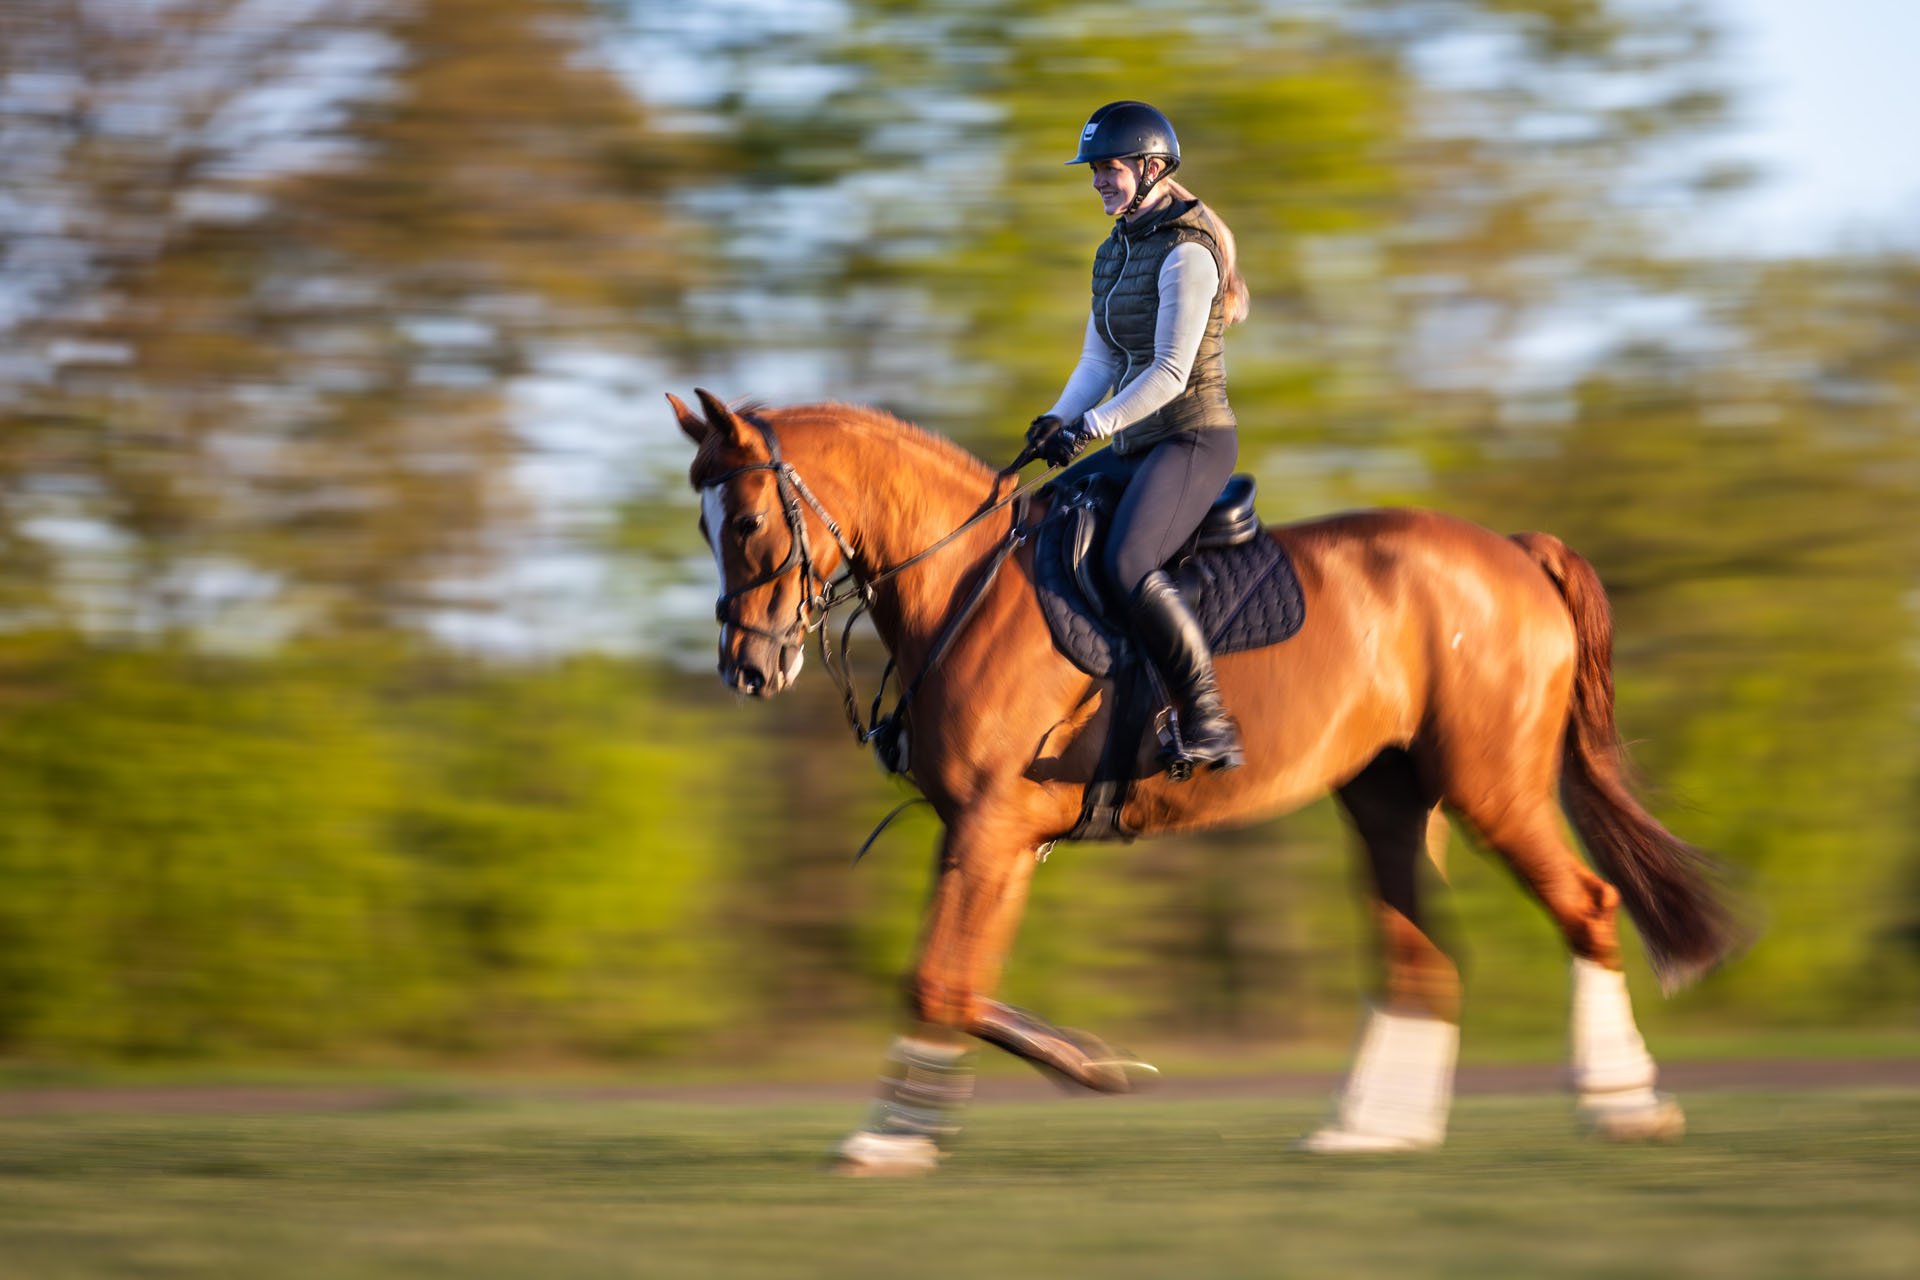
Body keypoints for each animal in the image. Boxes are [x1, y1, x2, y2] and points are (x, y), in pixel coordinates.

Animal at [669, 388, 1744, 1174]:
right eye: (706, 524)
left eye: (751, 521)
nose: (746, 668)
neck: (963, 586)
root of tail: (1515, 553)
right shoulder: (986, 834)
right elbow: (960, 982)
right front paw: (1084, 1066)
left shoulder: (991, 826)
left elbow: (939, 979)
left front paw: (891, 1137)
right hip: (1390, 797)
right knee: (1420, 957)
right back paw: (1371, 1130)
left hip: (1496, 788)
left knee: (1587, 906)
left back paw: (1623, 1105)